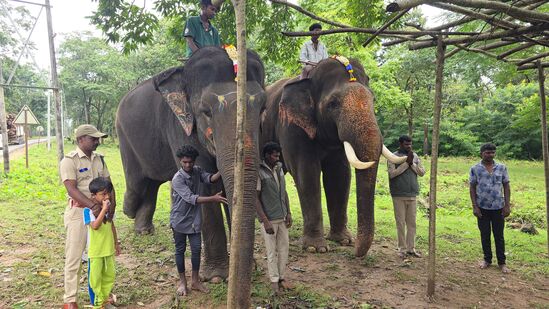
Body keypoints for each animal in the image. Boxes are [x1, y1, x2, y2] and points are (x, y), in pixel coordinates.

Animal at [116, 45, 266, 280]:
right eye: (206, 111)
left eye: (263, 108)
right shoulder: (179, 125)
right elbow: (202, 187)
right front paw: (217, 276)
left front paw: (249, 269)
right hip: (124, 137)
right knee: (137, 184)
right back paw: (128, 212)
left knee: (151, 184)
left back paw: (144, 230)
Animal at [260, 56, 404, 256]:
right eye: (333, 104)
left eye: (373, 99)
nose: (355, 252)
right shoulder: (291, 126)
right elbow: (307, 173)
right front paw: (315, 248)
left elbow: (340, 175)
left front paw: (343, 240)